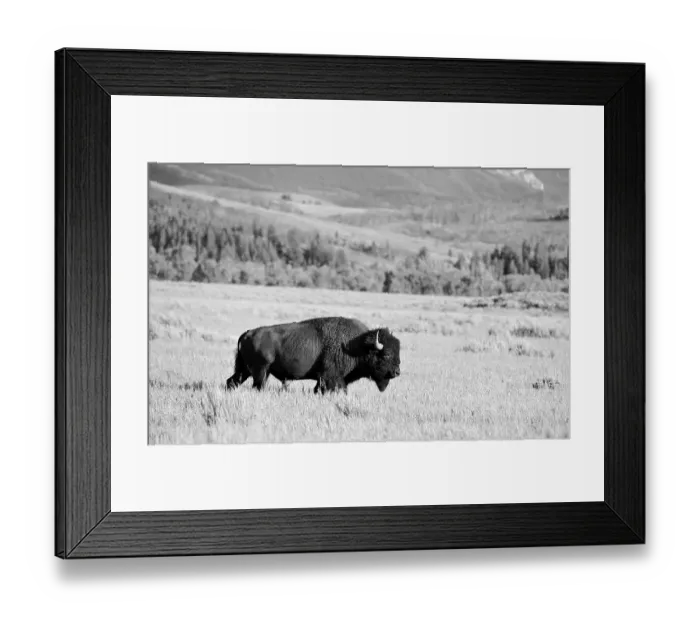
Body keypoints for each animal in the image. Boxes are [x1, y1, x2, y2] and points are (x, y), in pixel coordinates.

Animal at [225, 317, 401, 394]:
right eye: (386, 355)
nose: (397, 372)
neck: (357, 345)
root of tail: (248, 333)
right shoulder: (331, 377)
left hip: (245, 370)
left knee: (232, 381)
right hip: (261, 371)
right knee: (257, 386)